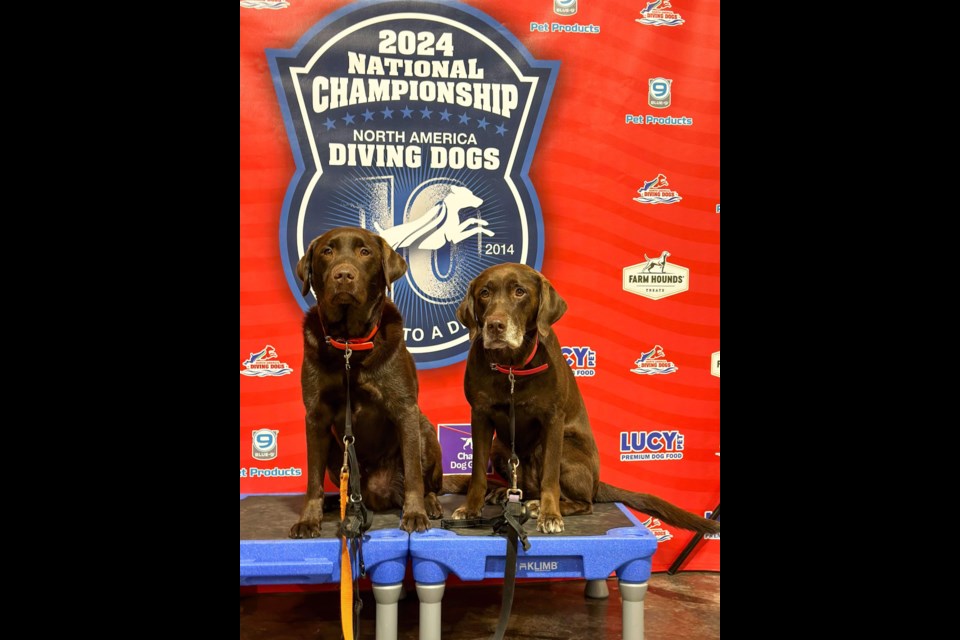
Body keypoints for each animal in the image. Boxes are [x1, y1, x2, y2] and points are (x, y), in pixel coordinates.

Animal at [288, 225, 442, 536]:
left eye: (364, 252)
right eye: (327, 251)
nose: (343, 275)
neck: (350, 343)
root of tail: (375, 495)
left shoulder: (405, 409)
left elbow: (414, 475)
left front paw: (415, 513)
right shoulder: (316, 416)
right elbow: (312, 479)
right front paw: (308, 519)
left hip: (425, 431)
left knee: (425, 481)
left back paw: (430, 504)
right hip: (336, 455)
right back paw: (335, 502)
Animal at [452, 260, 720, 536]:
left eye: (519, 292)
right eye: (484, 293)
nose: (495, 325)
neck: (512, 367)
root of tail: (597, 482)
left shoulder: (553, 419)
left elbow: (550, 477)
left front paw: (550, 515)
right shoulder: (480, 415)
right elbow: (477, 472)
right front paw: (471, 509)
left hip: (565, 448)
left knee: (583, 502)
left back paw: (540, 506)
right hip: (500, 447)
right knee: (524, 488)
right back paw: (506, 492)